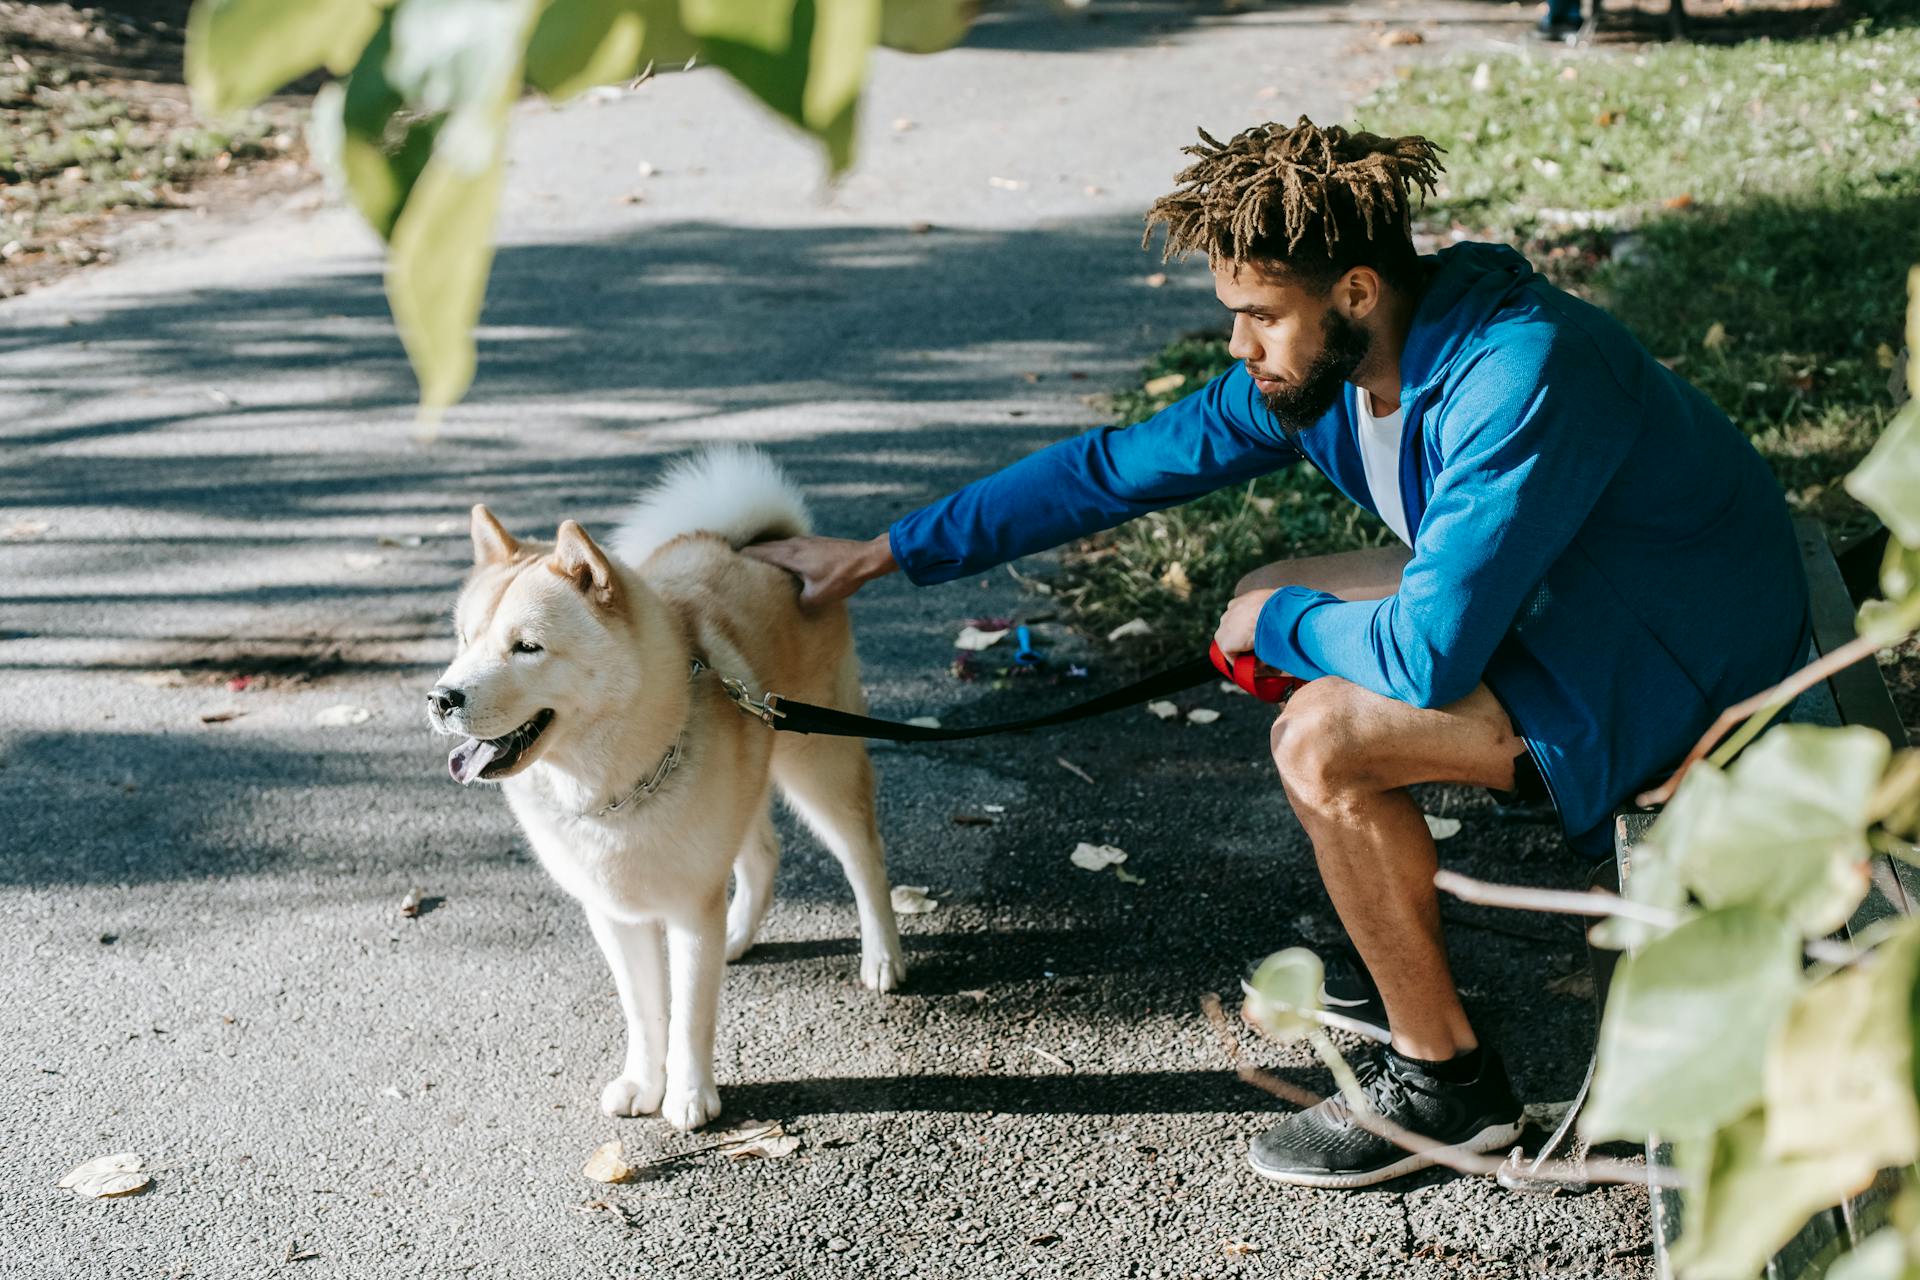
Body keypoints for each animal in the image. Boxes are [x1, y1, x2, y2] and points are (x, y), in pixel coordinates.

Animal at [432, 450, 910, 1128]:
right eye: (465, 639)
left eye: (527, 648)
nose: (441, 698)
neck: (614, 786)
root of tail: (753, 542)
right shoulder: (615, 915)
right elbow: (644, 1009)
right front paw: (642, 1082)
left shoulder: (690, 910)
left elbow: (690, 1014)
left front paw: (688, 1095)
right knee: (762, 855)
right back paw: (738, 935)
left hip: (821, 763)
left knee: (864, 858)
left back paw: (882, 957)